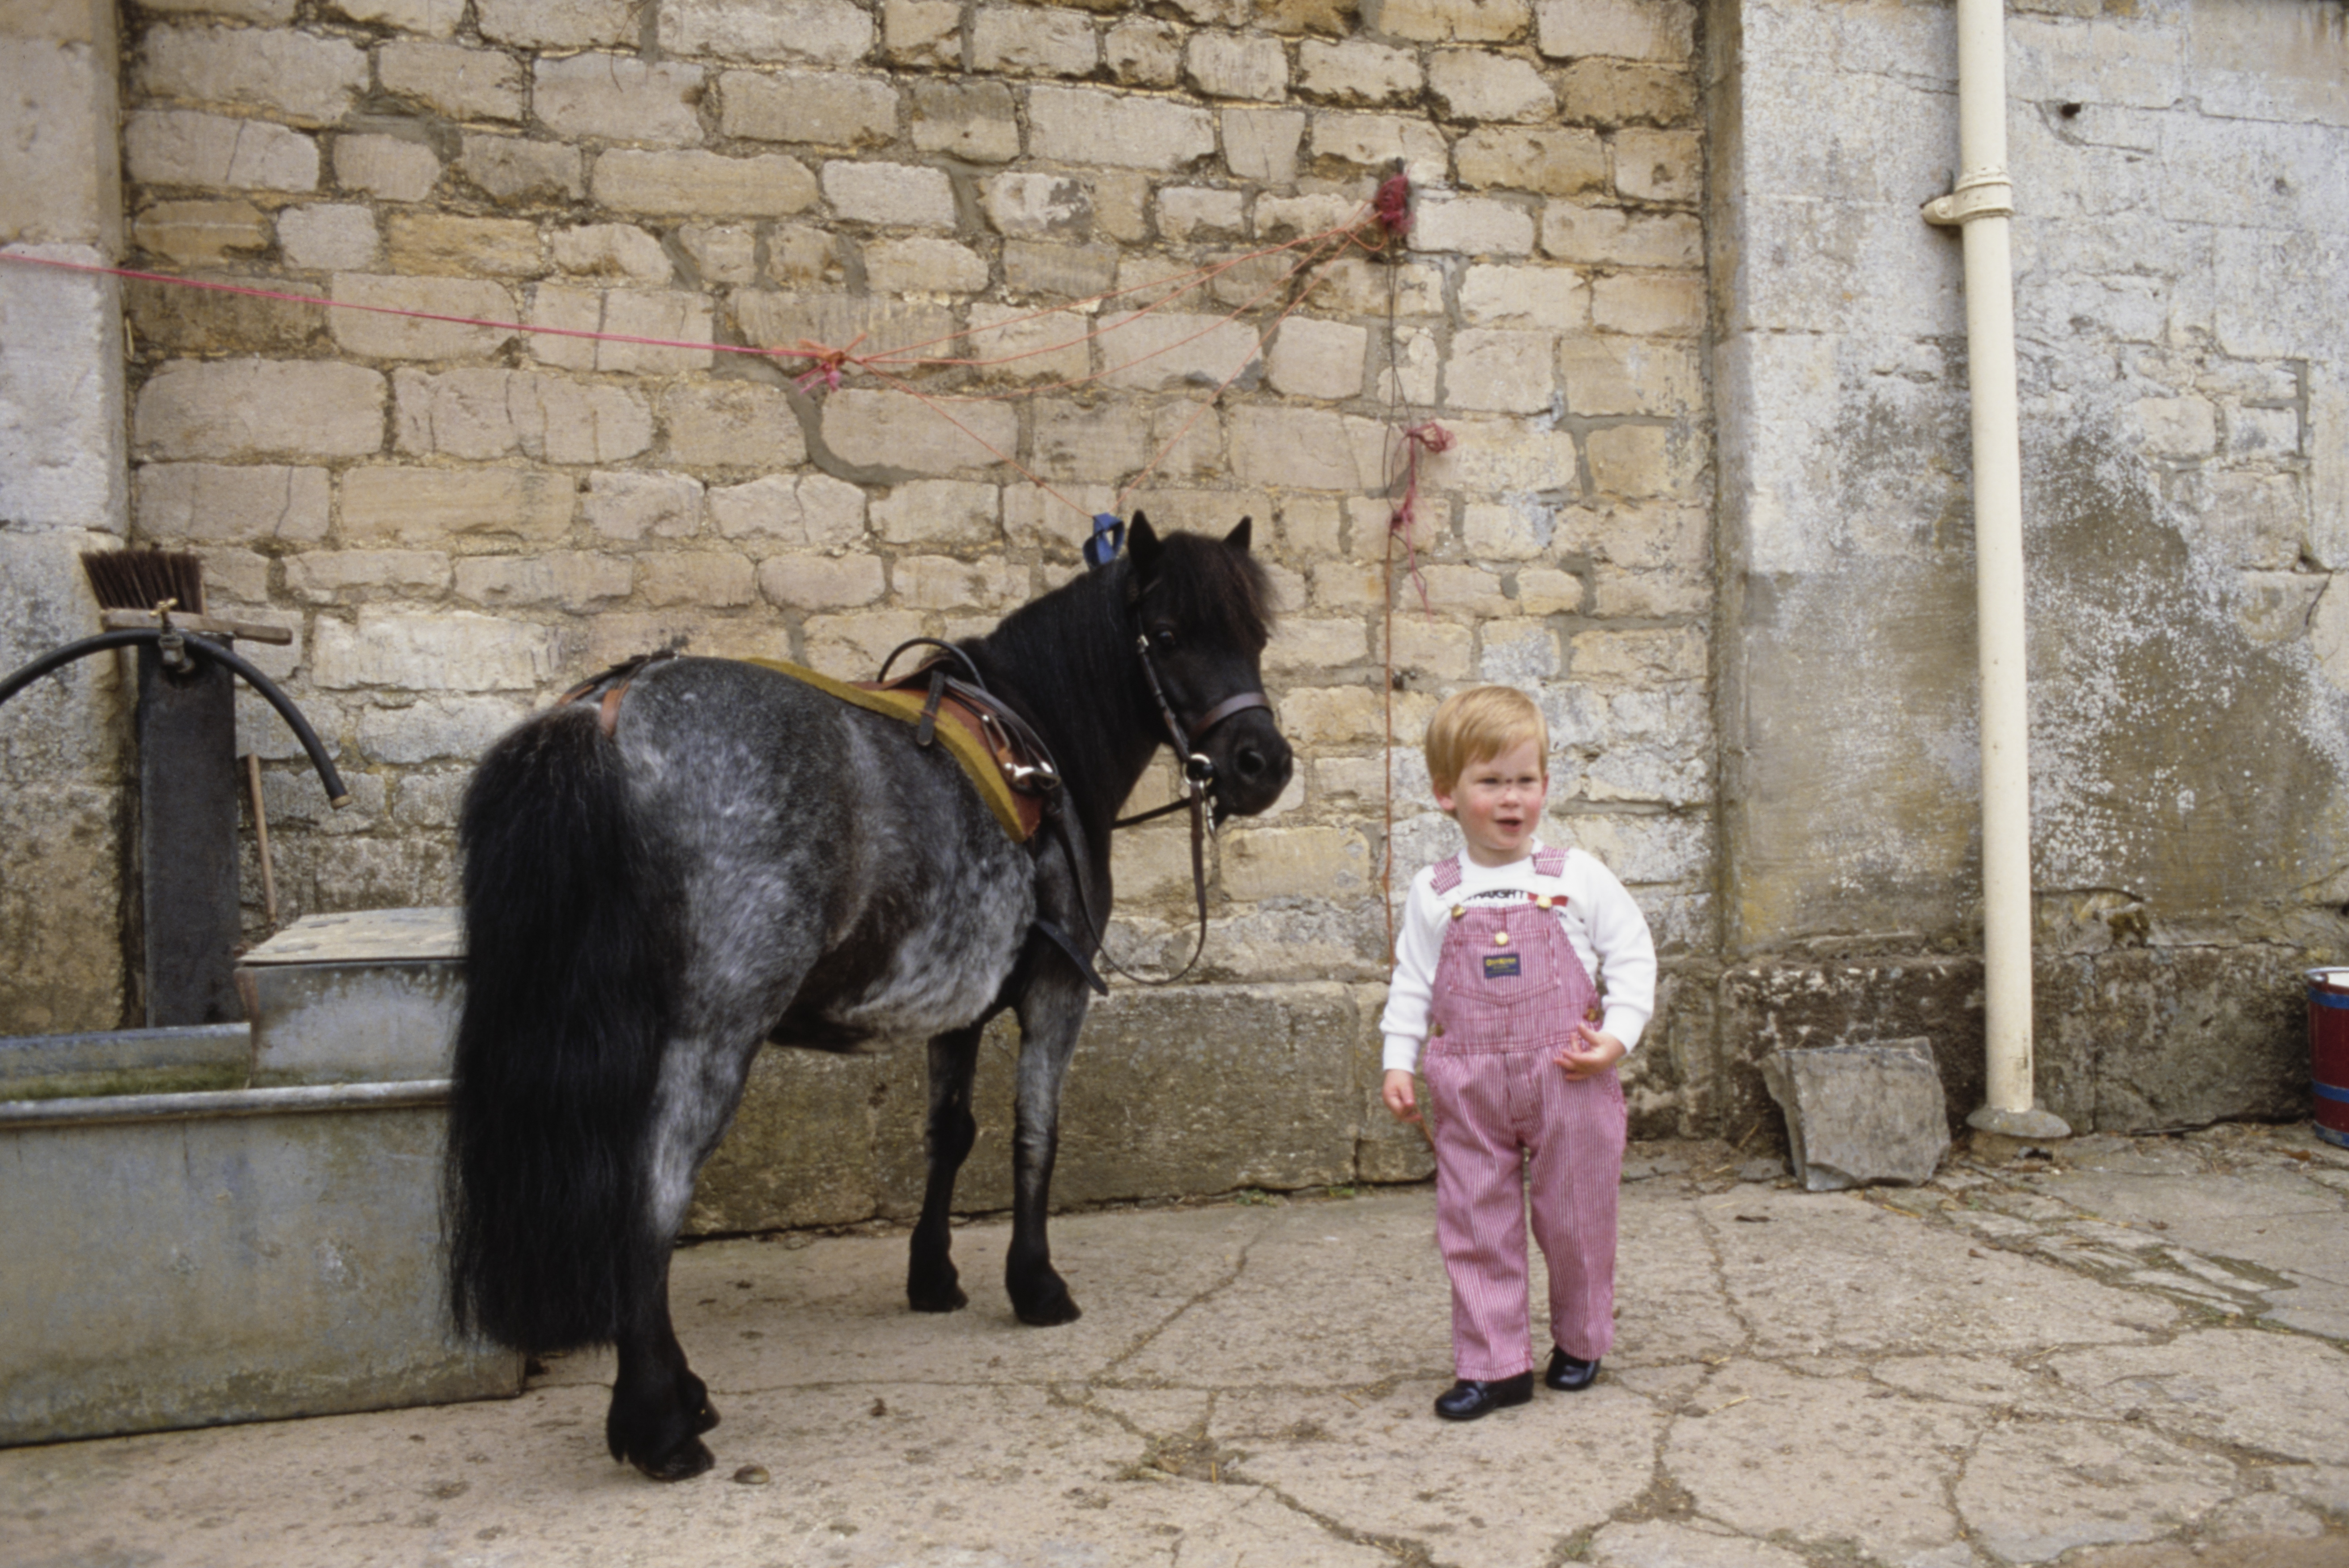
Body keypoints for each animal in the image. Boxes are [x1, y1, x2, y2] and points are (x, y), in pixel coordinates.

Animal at [442, 516, 1287, 1483]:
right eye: (1170, 635)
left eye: (1256, 636)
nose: (1263, 765)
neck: (1040, 743)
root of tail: (608, 711)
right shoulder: (1056, 988)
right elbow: (1036, 1133)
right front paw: (1035, 1284)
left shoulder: (957, 1004)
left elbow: (950, 1135)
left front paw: (934, 1277)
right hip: (711, 1034)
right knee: (651, 1191)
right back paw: (660, 1421)